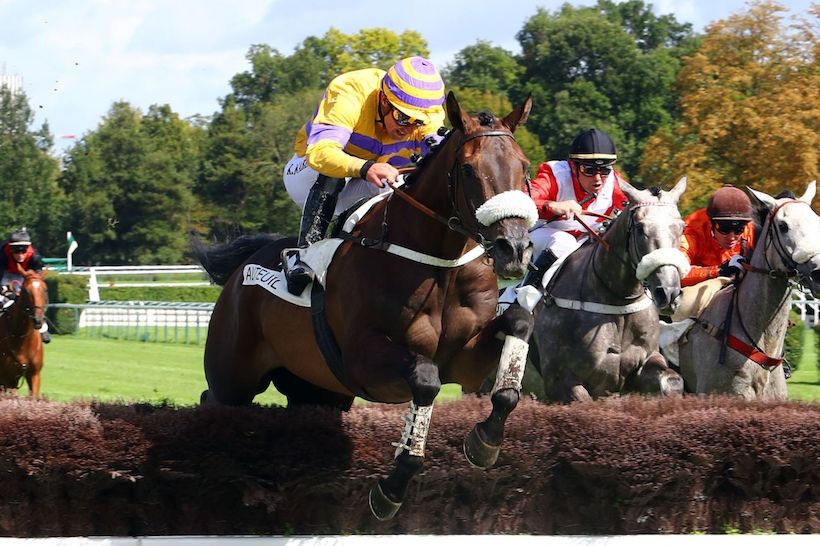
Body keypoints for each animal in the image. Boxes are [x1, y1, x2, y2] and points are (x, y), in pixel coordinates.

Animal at [196, 92, 538, 520]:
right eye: (469, 169)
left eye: (524, 167)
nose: (515, 249)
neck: (438, 262)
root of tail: (246, 263)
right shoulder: (364, 361)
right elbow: (426, 380)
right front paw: (391, 488)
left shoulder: (463, 360)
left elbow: (519, 331)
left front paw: (485, 440)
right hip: (234, 376)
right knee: (212, 402)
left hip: (318, 390)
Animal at [522, 178, 690, 403]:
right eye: (640, 228)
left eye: (681, 227)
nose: (669, 292)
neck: (618, 299)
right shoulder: (558, 380)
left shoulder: (646, 361)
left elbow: (672, 381)